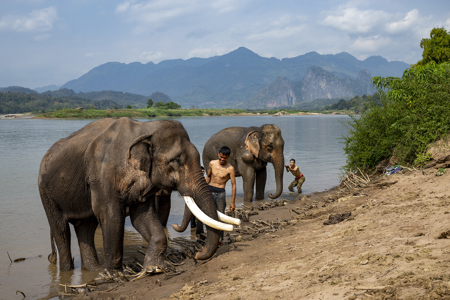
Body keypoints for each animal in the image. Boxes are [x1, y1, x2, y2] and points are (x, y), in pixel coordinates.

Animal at [37, 118, 239, 274]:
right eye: (175, 161)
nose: (198, 255)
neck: (145, 128)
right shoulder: (102, 176)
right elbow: (111, 216)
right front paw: (115, 274)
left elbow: (142, 217)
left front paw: (155, 268)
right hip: (45, 192)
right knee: (61, 230)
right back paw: (73, 272)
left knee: (85, 226)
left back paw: (95, 271)